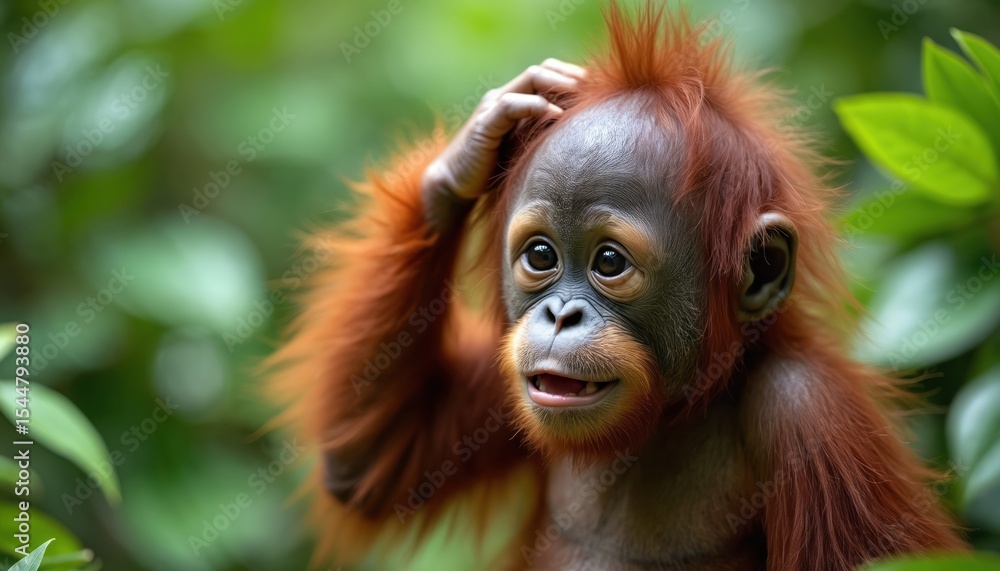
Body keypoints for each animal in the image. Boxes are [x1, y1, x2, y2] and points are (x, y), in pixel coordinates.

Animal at [266, 3, 967, 569]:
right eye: (541, 255)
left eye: (609, 262)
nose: (558, 316)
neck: (666, 419)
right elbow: (370, 462)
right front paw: (474, 146)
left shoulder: (810, 411)